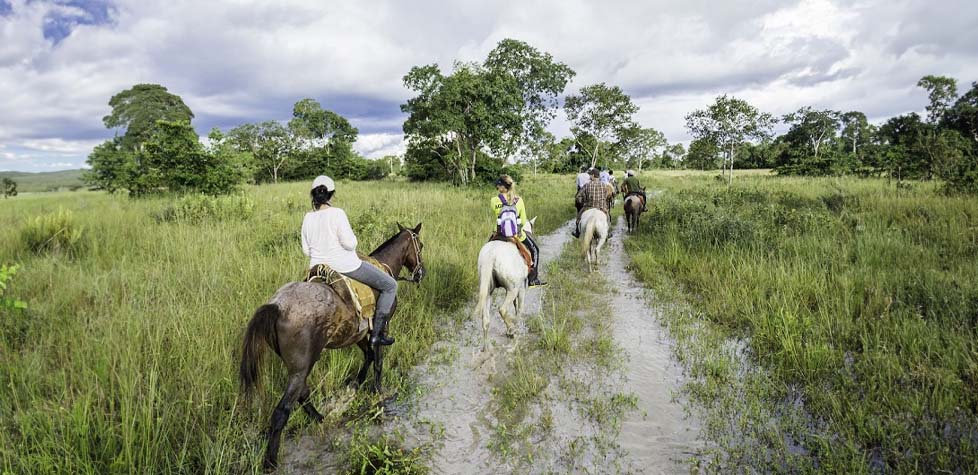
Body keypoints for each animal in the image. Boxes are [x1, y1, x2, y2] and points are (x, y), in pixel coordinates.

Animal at [239, 224, 424, 472]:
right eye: (420, 245)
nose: (421, 273)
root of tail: (276, 307)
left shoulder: (359, 332)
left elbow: (368, 356)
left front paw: (356, 383)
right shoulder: (381, 327)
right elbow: (378, 360)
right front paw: (378, 391)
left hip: (299, 367)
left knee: (302, 394)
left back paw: (320, 418)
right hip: (301, 367)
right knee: (282, 410)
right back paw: (270, 461)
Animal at [470, 217, 532, 346]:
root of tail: (491, 254)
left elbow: (515, 306)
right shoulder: (521, 288)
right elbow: (519, 309)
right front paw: (515, 327)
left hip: (488, 290)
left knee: (486, 321)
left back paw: (487, 347)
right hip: (512, 289)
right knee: (502, 310)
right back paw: (511, 330)